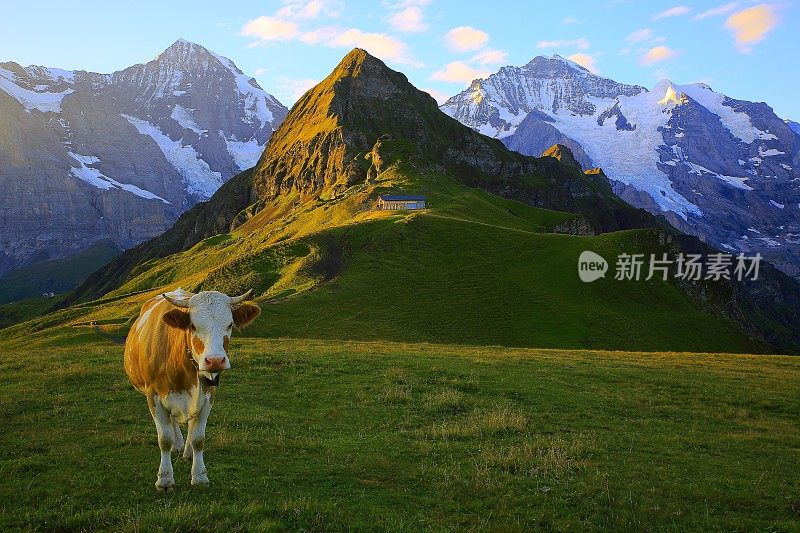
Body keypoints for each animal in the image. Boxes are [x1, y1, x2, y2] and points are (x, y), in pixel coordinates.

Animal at [123, 288, 260, 488]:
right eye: (193, 326)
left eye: (230, 324)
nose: (215, 361)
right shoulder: (154, 396)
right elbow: (164, 439)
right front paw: (165, 479)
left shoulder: (207, 395)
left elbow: (198, 439)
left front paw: (200, 476)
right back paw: (178, 445)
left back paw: (186, 451)